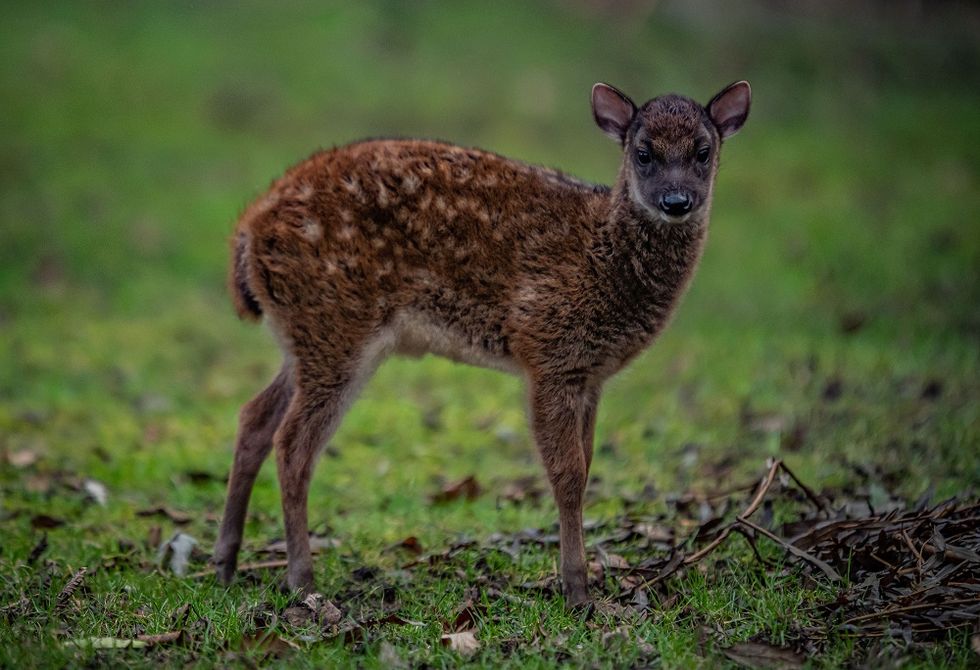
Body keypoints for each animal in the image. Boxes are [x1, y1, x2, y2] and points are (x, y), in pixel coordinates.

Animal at [212, 79, 752, 608]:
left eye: (703, 151)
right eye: (643, 153)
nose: (676, 202)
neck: (602, 256)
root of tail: (247, 231)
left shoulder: (590, 372)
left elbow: (587, 462)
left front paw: (581, 583)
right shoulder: (547, 347)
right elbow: (568, 474)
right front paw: (577, 592)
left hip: (306, 333)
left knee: (255, 416)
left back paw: (226, 563)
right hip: (335, 322)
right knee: (293, 444)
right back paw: (302, 581)